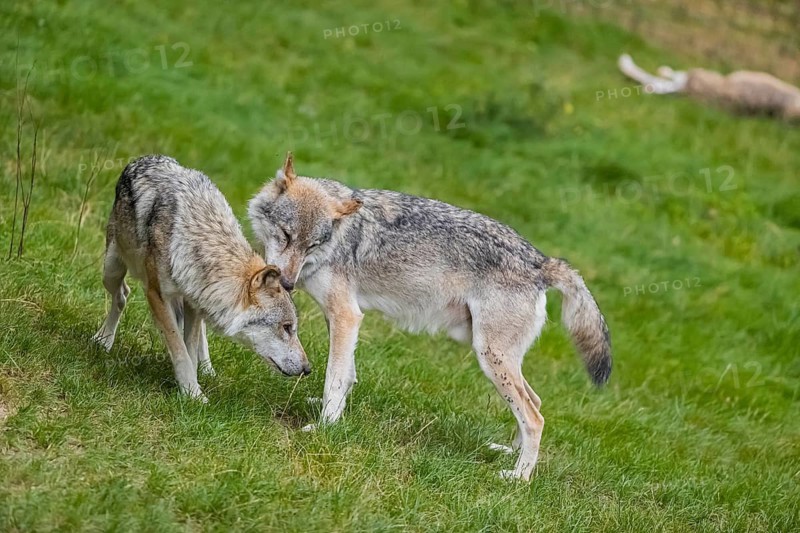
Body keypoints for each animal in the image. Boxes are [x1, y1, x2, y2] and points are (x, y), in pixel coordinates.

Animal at [93, 155, 310, 401]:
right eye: (287, 327)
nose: (308, 369)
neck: (200, 239)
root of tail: (145, 157)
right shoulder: (157, 295)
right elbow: (179, 348)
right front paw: (193, 394)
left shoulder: (195, 299)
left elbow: (190, 346)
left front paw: (194, 387)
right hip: (110, 271)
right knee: (122, 295)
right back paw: (103, 340)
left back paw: (208, 368)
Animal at [247, 153, 611, 481]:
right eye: (286, 236)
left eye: (311, 245)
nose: (286, 283)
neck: (337, 239)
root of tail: (542, 262)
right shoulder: (344, 319)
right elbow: (346, 375)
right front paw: (333, 417)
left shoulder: (346, 315)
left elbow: (334, 379)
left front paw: (324, 428)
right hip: (500, 359)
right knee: (535, 402)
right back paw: (508, 453)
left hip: (490, 357)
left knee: (535, 418)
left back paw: (517, 477)